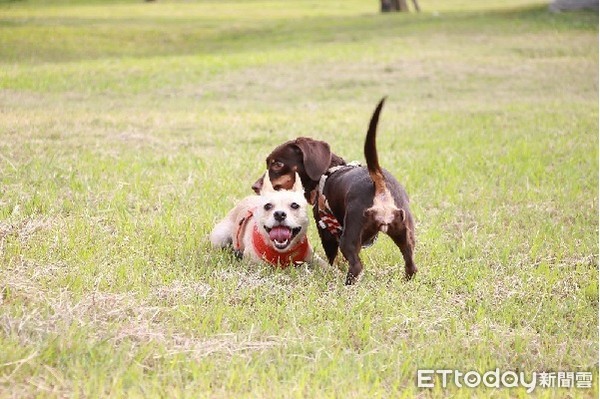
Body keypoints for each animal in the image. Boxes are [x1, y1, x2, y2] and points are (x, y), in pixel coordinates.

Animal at [253, 99, 418, 286]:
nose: (255, 186)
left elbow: (333, 258)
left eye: (278, 164)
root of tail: (379, 184)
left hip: (350, 236)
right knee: (411, 264)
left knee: (356, 266)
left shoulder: (326, 231)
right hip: (405, 234)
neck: (328, 172)